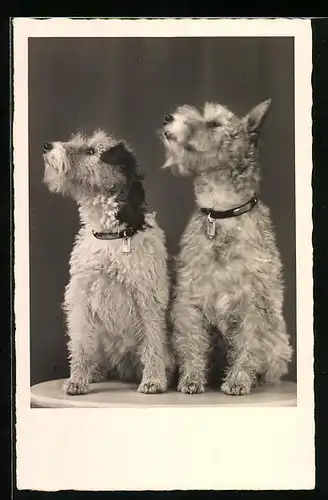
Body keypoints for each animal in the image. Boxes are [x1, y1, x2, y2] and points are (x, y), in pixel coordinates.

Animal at [42, 129, 173, 394]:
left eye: (92, 150)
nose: (47, 146)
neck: (110, 235)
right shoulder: (81, 297)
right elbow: (80, 344)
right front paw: (77, 379)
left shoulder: (147, 298)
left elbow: (153, 341)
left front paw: (154, 380)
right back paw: (95, 372)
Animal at [159, 100, 292, 394]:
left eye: (214, 123)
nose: (167, 117)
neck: (221, 213)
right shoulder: (189, 299)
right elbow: (192, 342)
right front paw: (191, 378)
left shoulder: (253, 301)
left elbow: (249, 343)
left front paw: (239, 379)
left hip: (280, 343)